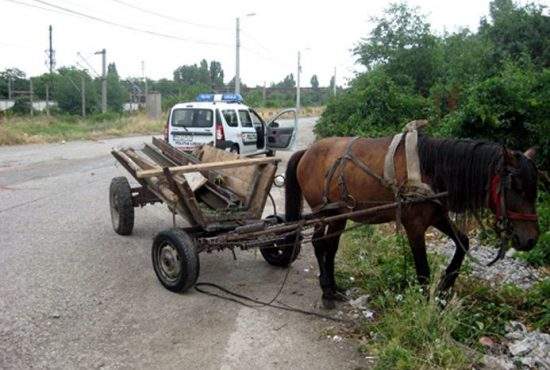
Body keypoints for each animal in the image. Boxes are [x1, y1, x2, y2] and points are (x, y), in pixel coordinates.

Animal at [286, 134, 540, 308]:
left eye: (535, 188)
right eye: (515, 187)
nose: (531, 239)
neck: (430, 171)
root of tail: (308, 151)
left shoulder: (438, 217)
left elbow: (463, 243)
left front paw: (445, 286)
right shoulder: (415, 227)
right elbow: (423, 270)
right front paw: (425, 305)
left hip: (339, 215)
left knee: (329, 246)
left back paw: (333, 288)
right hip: (325, 213)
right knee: (321, 244)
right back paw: (327, 291)